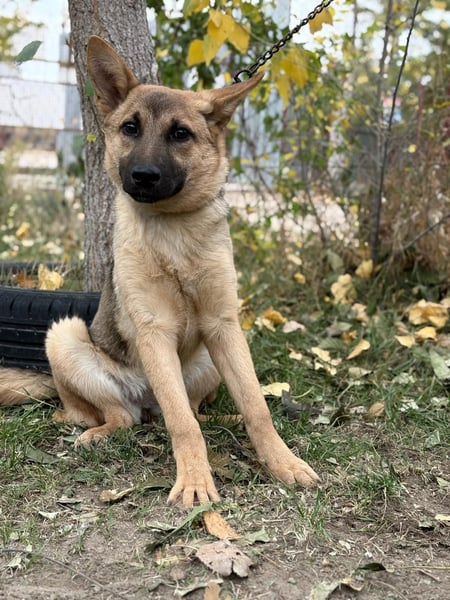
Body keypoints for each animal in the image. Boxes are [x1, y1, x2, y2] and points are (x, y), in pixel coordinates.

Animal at [0, 36, 319, 506]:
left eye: (180, 134)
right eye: (130, 128)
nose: (143, 176)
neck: (174, 232)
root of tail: (147, 399)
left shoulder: (224, 326)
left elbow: (256, 408)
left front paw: (284, 462)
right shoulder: (154, 330)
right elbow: (180, 423)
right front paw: (195, 481)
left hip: (207, 358)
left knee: (193, 409)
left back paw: (217, 417)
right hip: (64, 335)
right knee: (122, 415)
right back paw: (97, 432)